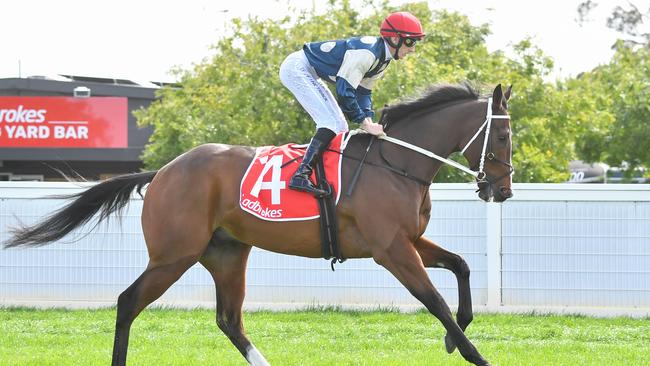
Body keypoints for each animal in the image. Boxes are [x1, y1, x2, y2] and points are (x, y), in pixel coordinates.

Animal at [3, 83, 512, 366]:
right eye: (503, 135)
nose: (502, 190)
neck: (396, 162)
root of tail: (163, 171)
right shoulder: (391, 249)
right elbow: (435, 301)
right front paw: (475, 354)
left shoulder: (407, 240)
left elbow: (462, 267)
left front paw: (453, 338)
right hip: (174, 254)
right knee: (129, 302)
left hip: (227, 253)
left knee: (229, 320)